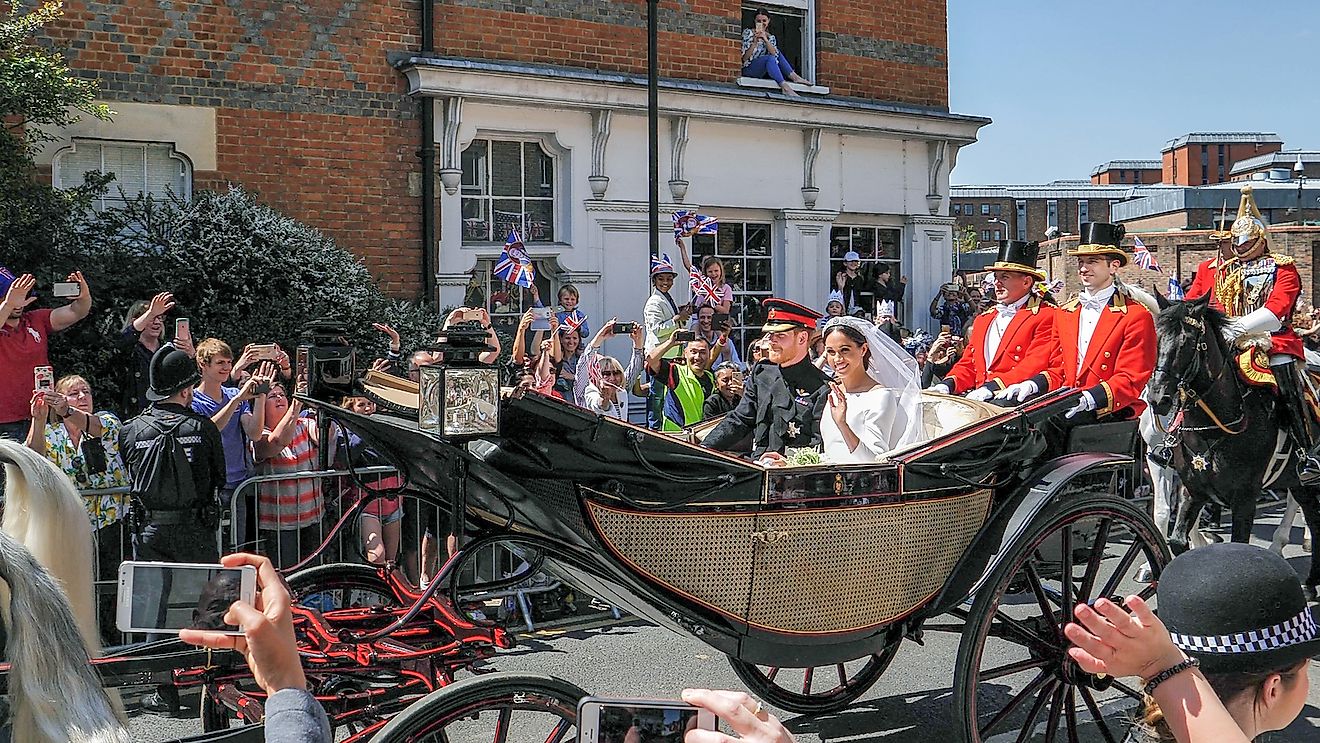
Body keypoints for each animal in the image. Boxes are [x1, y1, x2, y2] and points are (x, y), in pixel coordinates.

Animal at [1145, 295, 1320, 599]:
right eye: (1157, 338)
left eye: (1186, 342)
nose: (1158, 399)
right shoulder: (1193, 491)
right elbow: (1177, 539)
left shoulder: (1245, 499)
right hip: (1300, 483)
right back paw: (1309, 583)